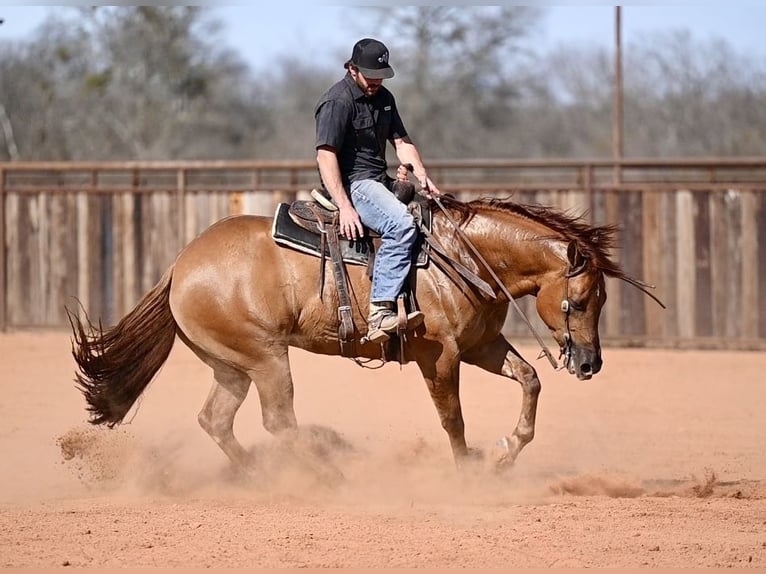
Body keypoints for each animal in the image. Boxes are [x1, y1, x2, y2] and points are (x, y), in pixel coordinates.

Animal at [69, 196, 664, 474]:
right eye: (578, 301)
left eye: (601, 301)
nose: (589, 364)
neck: (462, 256)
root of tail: (180, 264)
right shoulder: (439, 356)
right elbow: (452, 417)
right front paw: (468, 468)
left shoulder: (481, 347)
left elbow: (530, 379)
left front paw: (506, 452)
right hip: (265, 358)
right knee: (278, 420)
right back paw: (330, 470)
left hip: (231, 365)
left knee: (216, 420)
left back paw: (260, 475)